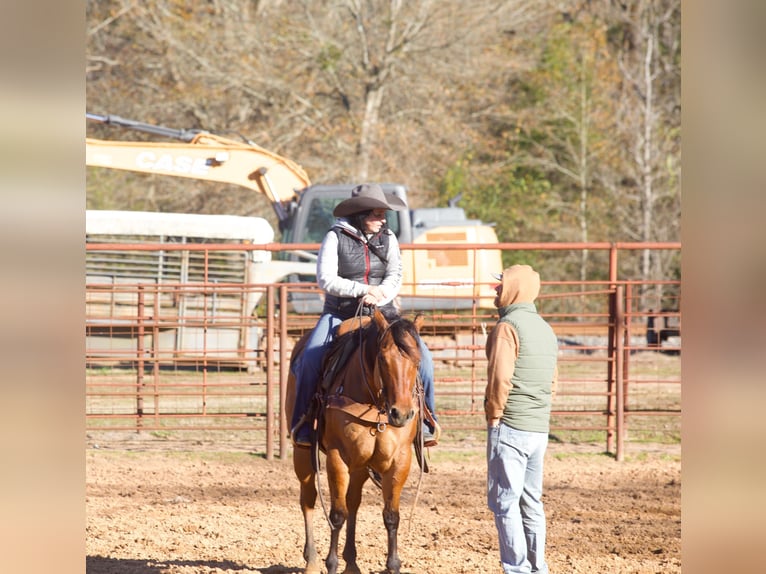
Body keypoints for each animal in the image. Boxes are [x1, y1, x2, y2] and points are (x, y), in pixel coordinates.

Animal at [286, 310, 424, 574]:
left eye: (418, 360)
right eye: (382, 358)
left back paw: (351, 561)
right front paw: (331, 564)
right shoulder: (337, 458)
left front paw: (393, 565)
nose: (401, 414)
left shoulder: (400, 460)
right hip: (302, 454)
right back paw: (312, 560)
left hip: (360, 466)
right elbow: (337, 514)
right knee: (308, 500)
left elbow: (391, 515)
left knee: (353, 503)